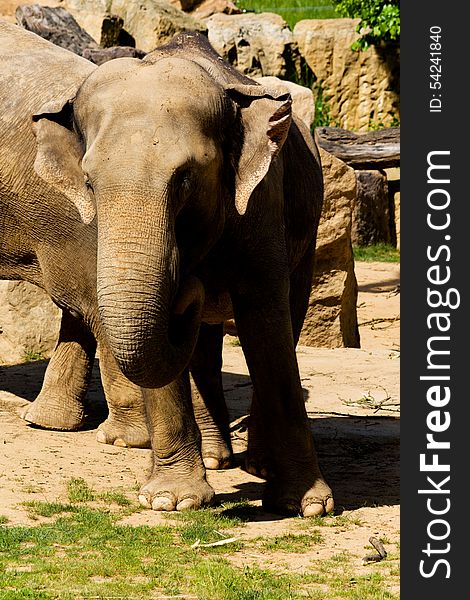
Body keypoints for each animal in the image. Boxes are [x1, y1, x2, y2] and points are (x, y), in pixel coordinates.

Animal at [1, 22, 336, 516]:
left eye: (186, 179)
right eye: (89, 182)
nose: (190, 283)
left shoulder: (261, 204)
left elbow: (266, 325)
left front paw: (304, 505)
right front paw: (171, 501)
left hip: (308, 229)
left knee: (285, 316)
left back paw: (254, 464)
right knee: (196, 344)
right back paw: (215, 459)